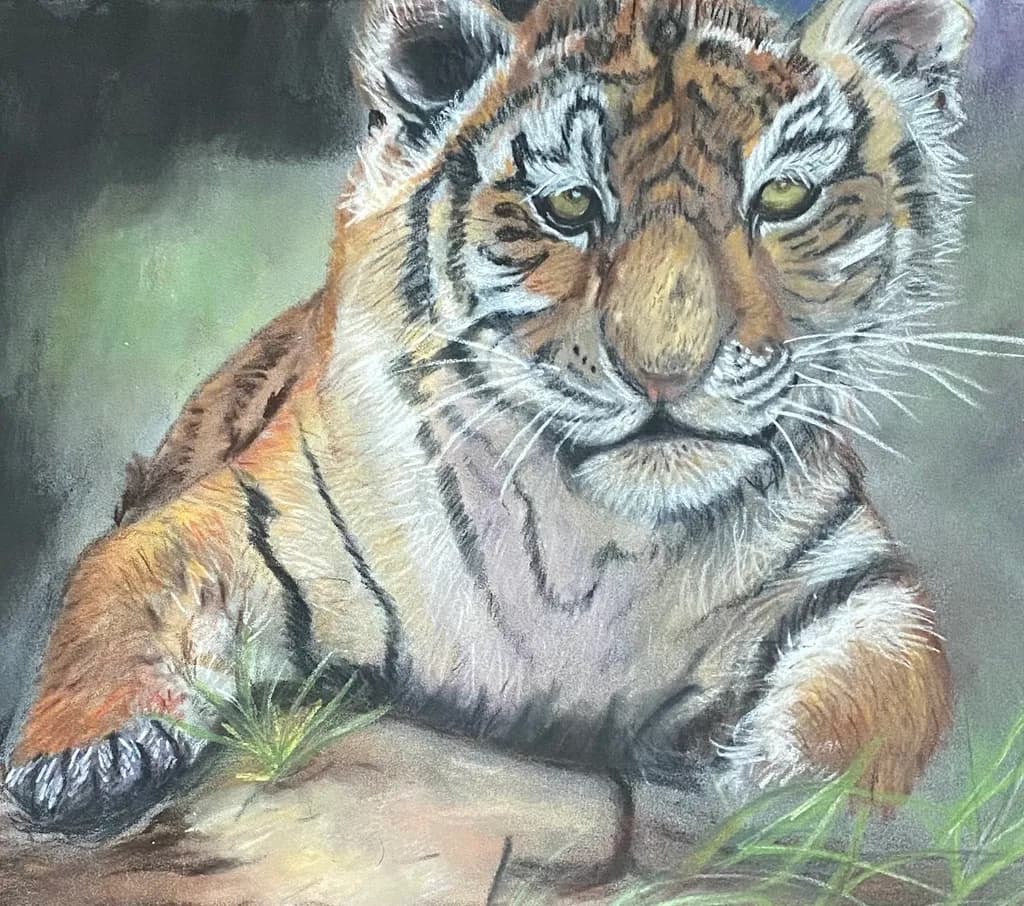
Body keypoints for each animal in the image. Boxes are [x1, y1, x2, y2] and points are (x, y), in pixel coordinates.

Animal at [4, 0, 973, 837]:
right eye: (570, 206)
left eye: (783, 199)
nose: (667, 374)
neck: (597, 541)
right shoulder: (237, 518)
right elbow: (113, 597)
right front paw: (80, 762)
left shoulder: (854, 586)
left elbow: (881, 698)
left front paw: (779, 791)